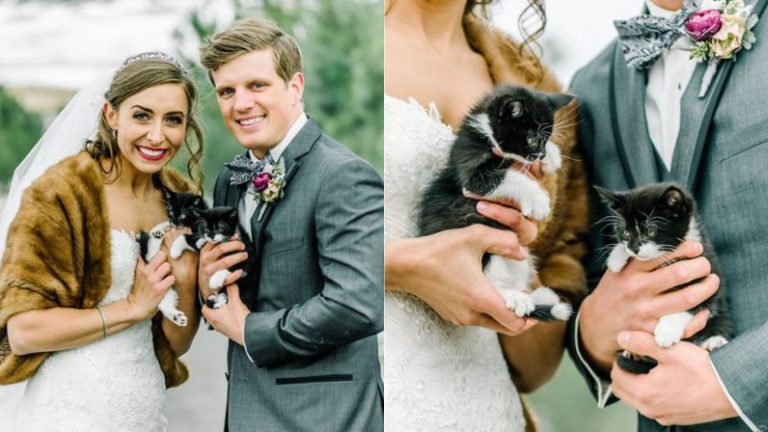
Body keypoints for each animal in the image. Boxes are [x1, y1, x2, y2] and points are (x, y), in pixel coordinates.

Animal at [135, 190, 207, 328]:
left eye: (183, 215)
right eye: (172, 213)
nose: (173, 223)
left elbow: (187, 237)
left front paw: (174, 250)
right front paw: (161, 227)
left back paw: (177, 317)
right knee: (151, 256)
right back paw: (156, 235)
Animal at [420, 83, 576, 320]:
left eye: (546, 137)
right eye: (532, 138)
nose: (540, 154)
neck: (486, 133)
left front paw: (552, 156)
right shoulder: (471, 169)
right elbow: (509, 177)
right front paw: (539, 200)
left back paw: (539, 297)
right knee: (489, 283)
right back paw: (516, 298)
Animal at [592, 182, 732, 374]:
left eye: (650, 231)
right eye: (626, 233)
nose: (634, 248)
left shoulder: (707, 271)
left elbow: (693, 302)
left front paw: (667, 331)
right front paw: (616, 257)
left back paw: (714, 340)